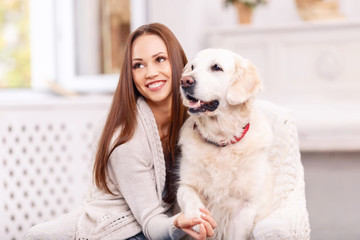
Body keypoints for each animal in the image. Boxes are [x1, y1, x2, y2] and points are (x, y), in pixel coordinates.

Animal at [177, 48, 310, 240]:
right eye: (192, 67)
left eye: (216, 67)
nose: (185, 81)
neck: (221, 142)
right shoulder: (186, 184)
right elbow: (189, 196)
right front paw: (197, 218)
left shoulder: (244, 207)